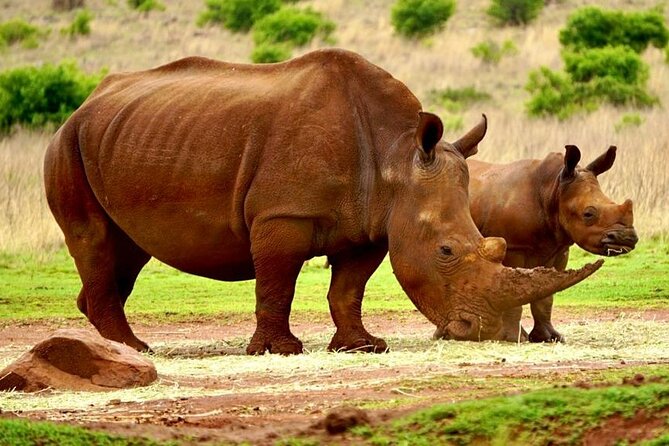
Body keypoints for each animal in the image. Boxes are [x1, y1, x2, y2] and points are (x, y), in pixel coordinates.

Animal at [44, 49, 602, 353]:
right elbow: (277, 282)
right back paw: (133, 349)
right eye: (445, 251)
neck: (397, 157)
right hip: (67, 144)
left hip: (120, 139)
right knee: (94, 239)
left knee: (127, 250)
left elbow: (349, 287)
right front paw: (278, 351)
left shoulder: (373, 221)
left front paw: (364, 345)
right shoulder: (281, 215)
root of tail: (85, 103)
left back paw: (112, 343)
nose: (485, 333)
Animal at [440, 145, 636, 343]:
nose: (627, 238)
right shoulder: (513, 247)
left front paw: (550, 337)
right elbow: (512, 291)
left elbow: (546, 297)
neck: (553, 189)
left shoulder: (558, 248)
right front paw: (515, 337)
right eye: (588, 214)